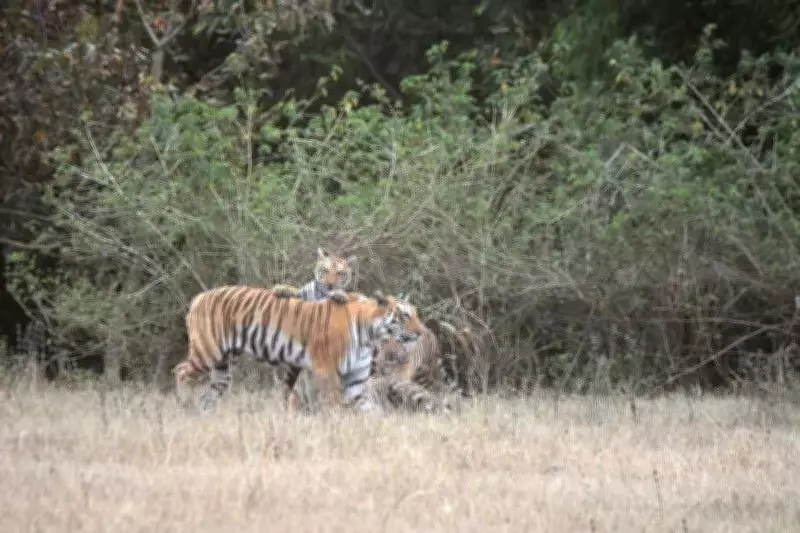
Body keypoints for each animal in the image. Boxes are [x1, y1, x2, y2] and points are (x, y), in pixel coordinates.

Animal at [173, 285, 424, 413]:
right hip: (208, 351)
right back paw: (183, 406)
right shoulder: (327, 370)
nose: (421, 332)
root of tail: (198, 297)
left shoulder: (355, 381)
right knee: (181, 371)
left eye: (416, 314)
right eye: (405, 315)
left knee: (210, 393)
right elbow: (332, 405)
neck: (370, 335)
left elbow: (369, 410)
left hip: (223, 365)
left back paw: (205, 416)